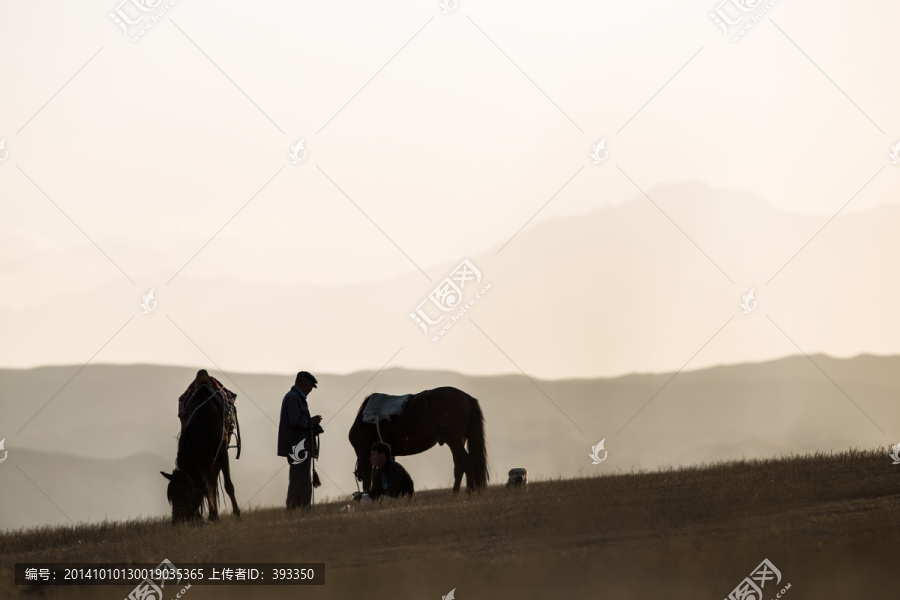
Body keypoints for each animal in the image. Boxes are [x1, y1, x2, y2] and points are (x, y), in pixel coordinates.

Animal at [160, 384, 239, 520]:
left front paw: (237, 513)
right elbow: (206, 484)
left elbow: (228, 485)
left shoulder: (222, 453)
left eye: (187, 495)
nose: (178, 521)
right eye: (171, 497)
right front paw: (210, 515)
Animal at [348, 386, 488, 494]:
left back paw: (468, 492)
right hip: (457, 442)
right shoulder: (388, 453)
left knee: (466, 462)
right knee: (460, 464)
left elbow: (367, 480)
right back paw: (457, 492)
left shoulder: (364, 452)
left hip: (454, 441)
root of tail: (466, 397)